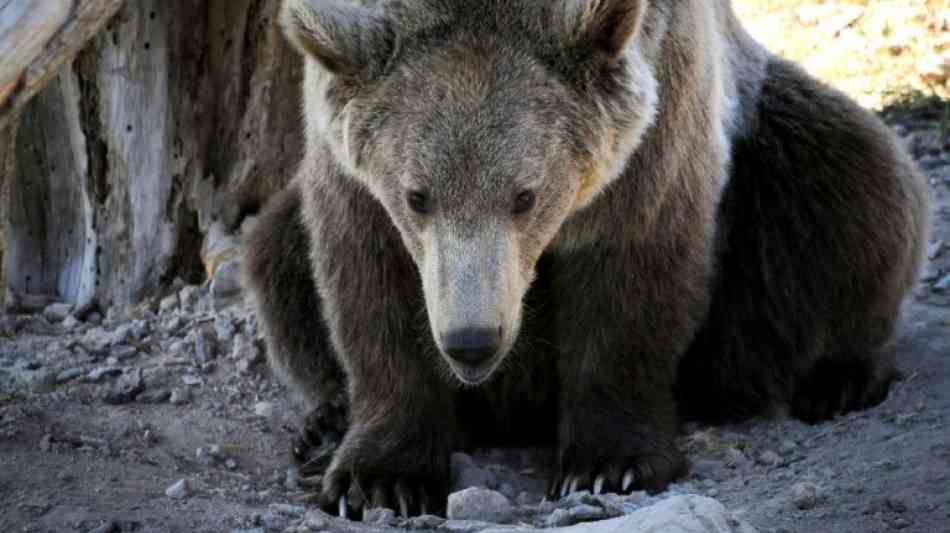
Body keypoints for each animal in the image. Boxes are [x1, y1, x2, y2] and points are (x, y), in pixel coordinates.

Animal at [244, 0, 928, 516]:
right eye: (417, 195)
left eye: (525, 195)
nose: (472, 342)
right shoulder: (350, 168)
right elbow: (366, 284)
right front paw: (376, 478)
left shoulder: (655, 121)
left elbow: (631, 278)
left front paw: (608, 464)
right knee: (275, 258)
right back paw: (322, 423)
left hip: (771, 163)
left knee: (854, 187)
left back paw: (838, 376)